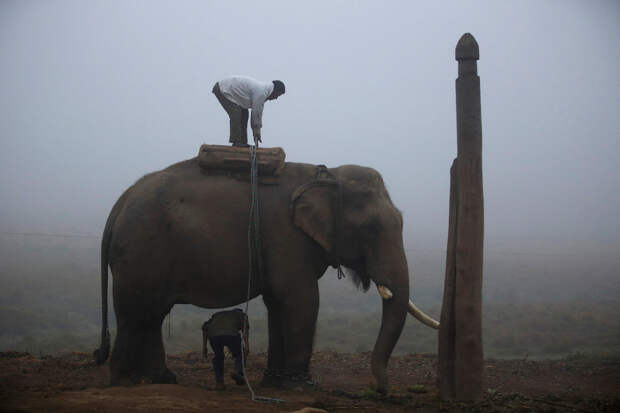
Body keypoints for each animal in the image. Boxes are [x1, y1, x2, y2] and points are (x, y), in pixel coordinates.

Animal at [94, 149, 438, 392]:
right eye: (371, 228)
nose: (379, 389)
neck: (326, 175)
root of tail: (119, 204)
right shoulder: (286, 236)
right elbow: (302, 301)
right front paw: (301, 387)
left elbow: (278, 304)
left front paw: (274, 383)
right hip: (140, 250)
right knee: (135, 313)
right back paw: (123, 382)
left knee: (152, 314)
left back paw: (163, 380)